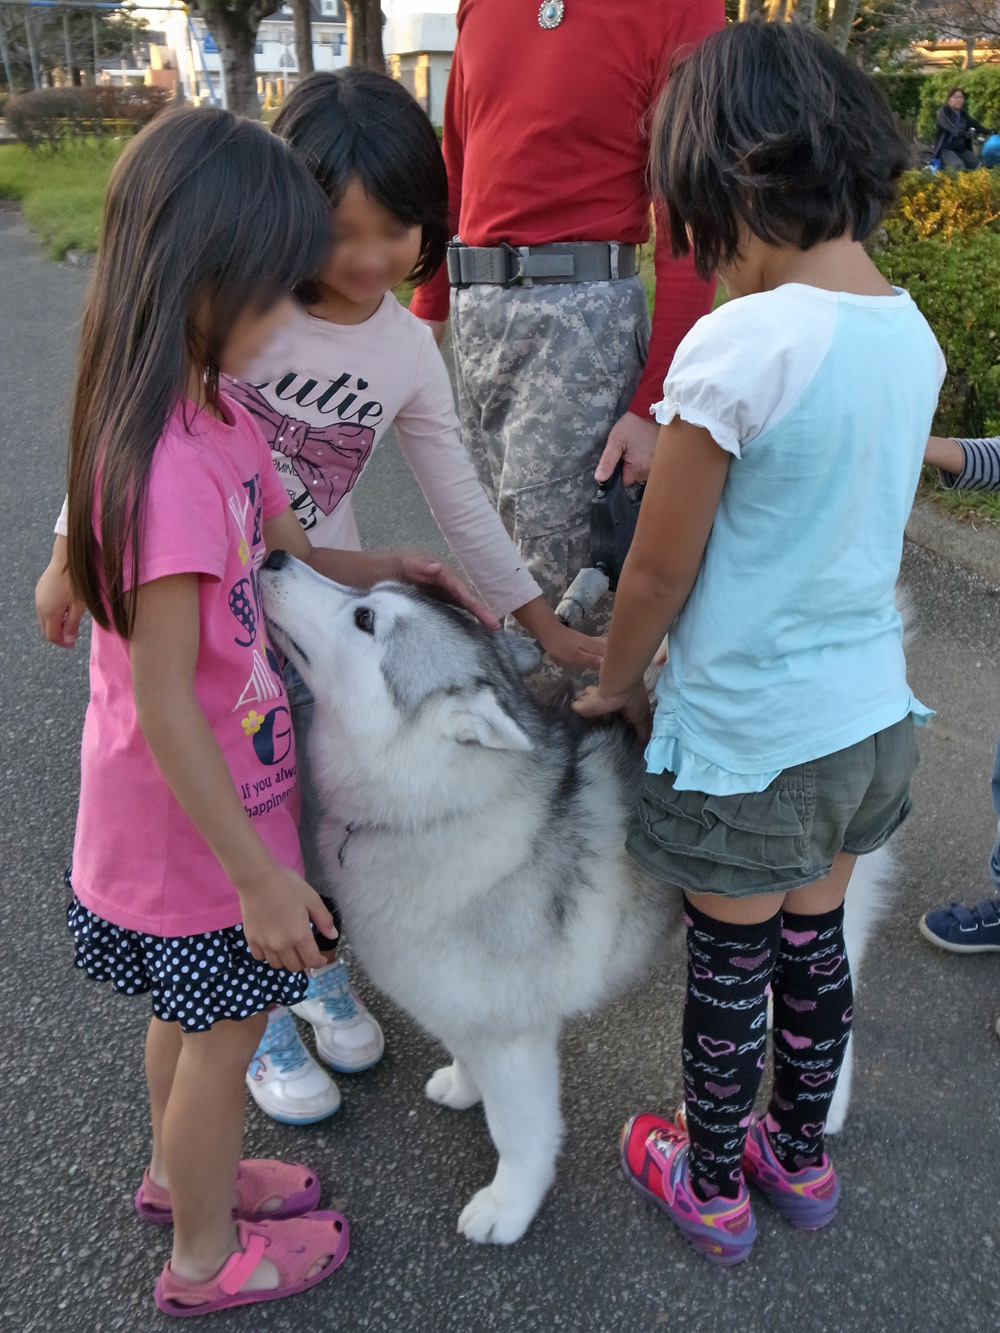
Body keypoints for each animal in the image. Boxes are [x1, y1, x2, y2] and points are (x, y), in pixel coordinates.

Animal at [262, 551, 896, 1237]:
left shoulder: (515, 1036)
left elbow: (519, 1132)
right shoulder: (459, 997)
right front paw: (463, 1083)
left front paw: (509, 1205)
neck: (436, 810)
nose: (273, 555)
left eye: (365, 618)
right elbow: (463, 1046)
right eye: (368, 593)